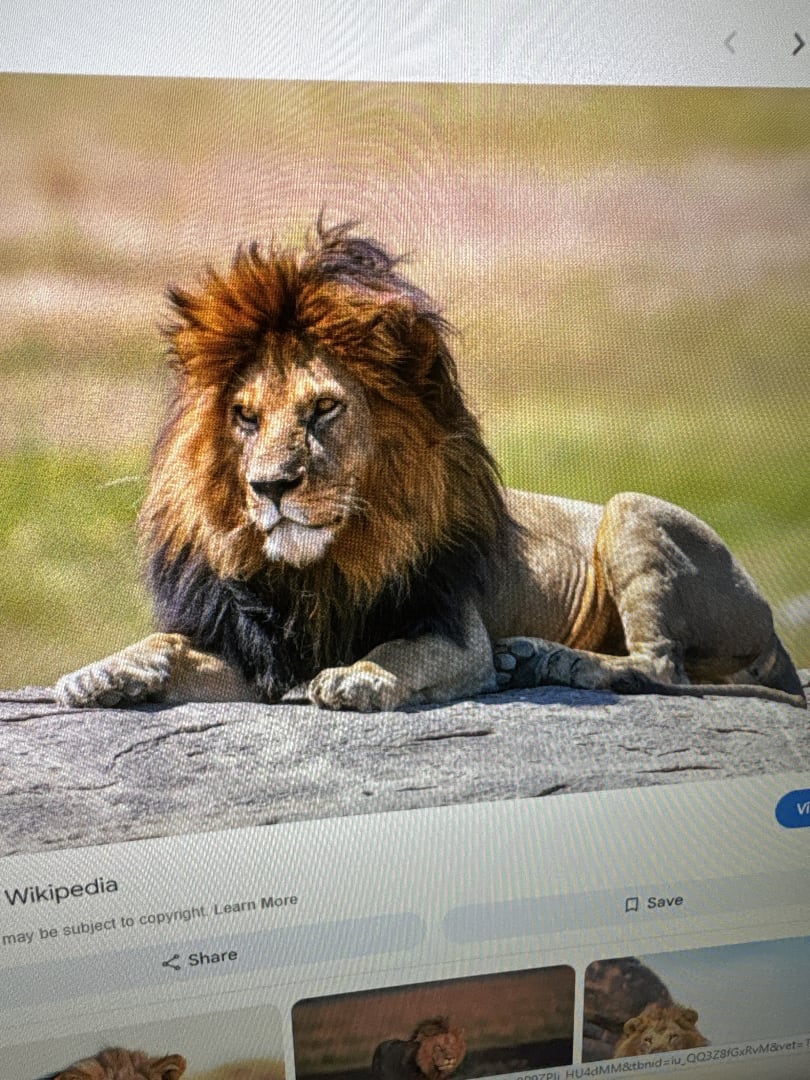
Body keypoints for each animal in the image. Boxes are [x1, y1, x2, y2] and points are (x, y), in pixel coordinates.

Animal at [55, 222, 806, 712]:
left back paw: (543, 658)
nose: (268, 487)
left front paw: (356, 676)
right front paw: (100, 675)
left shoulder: (455, 632)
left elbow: (399, 653)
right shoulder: (255, 652)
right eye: (243, 416)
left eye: (323, 409)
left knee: (662, 669)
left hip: (630, 510)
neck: (320, 570)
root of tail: (774, 630)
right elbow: (164, 643)